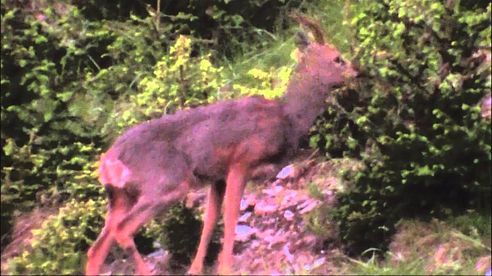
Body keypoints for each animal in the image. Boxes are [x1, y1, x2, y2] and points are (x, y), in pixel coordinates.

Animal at [86, 14, 358, 274]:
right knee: (122, 230)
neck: (287, 118)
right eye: (337, 58)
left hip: (120, 197)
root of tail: (108, 160)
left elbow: (209, 223)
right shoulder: (241, 161)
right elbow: (230, 217)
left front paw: (195, 269)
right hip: (165, 183)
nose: (358, 72)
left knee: (96, 248)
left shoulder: (216, 177)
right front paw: (226, 267)